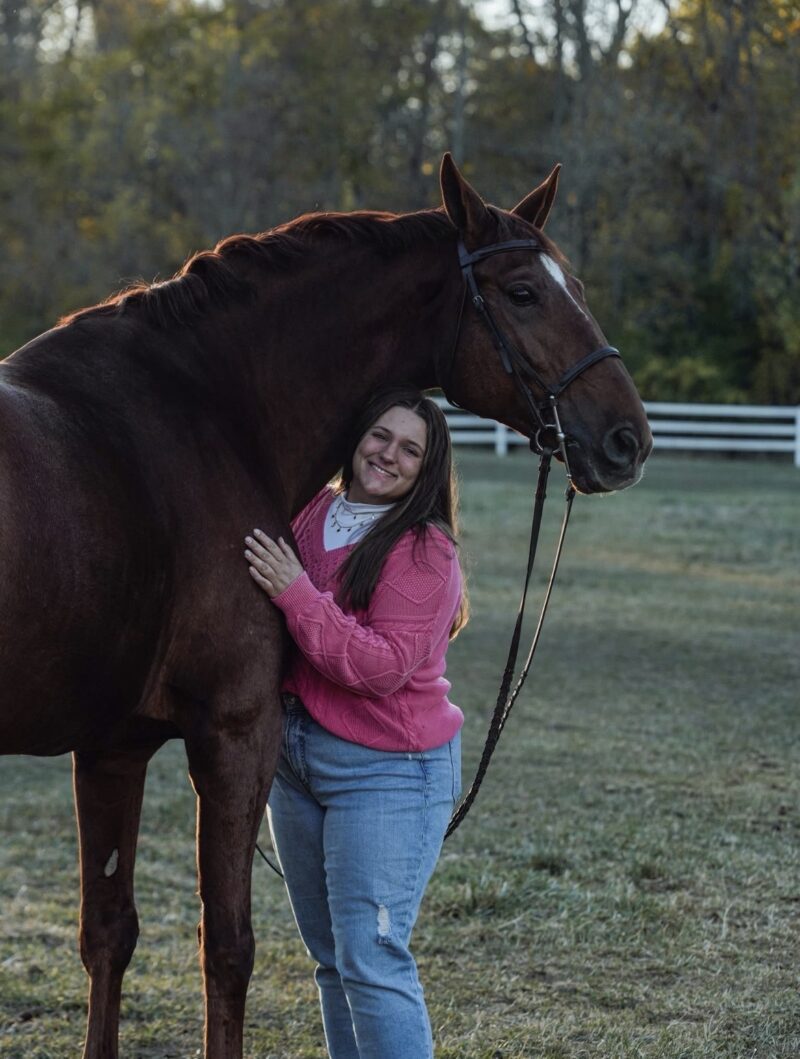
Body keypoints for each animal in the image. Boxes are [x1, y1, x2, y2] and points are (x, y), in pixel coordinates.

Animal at [0, 154, 651, 1058]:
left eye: (577, 285)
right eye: (523, 291)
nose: (628, 439)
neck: (202, 416)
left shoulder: (111, 746)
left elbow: (108, 934)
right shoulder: (236, 732)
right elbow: (227, 946)